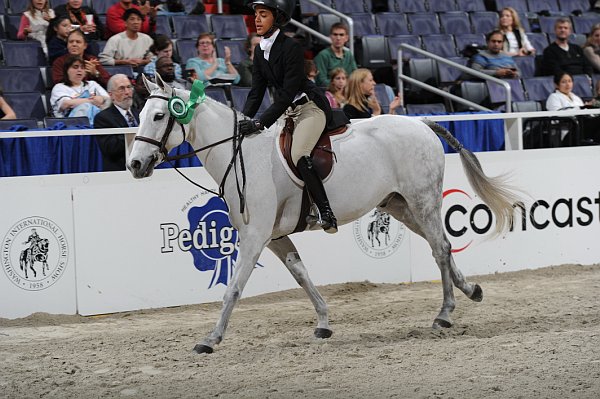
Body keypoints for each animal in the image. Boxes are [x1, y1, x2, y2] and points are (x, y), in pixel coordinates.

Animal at [127, 76, 520, 354]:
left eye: (160, 116)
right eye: (140, 115)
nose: (134, 165)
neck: (242, 157)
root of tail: (422, 123)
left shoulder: (254, 238)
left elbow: (234, 288)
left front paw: (210, 339)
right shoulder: (274, 237)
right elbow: (301, 275)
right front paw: (324, 323)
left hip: (421, 201)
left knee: (439, 249)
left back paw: (445, 313)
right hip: (400, 206)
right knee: (443, 245)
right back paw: (471, 290)